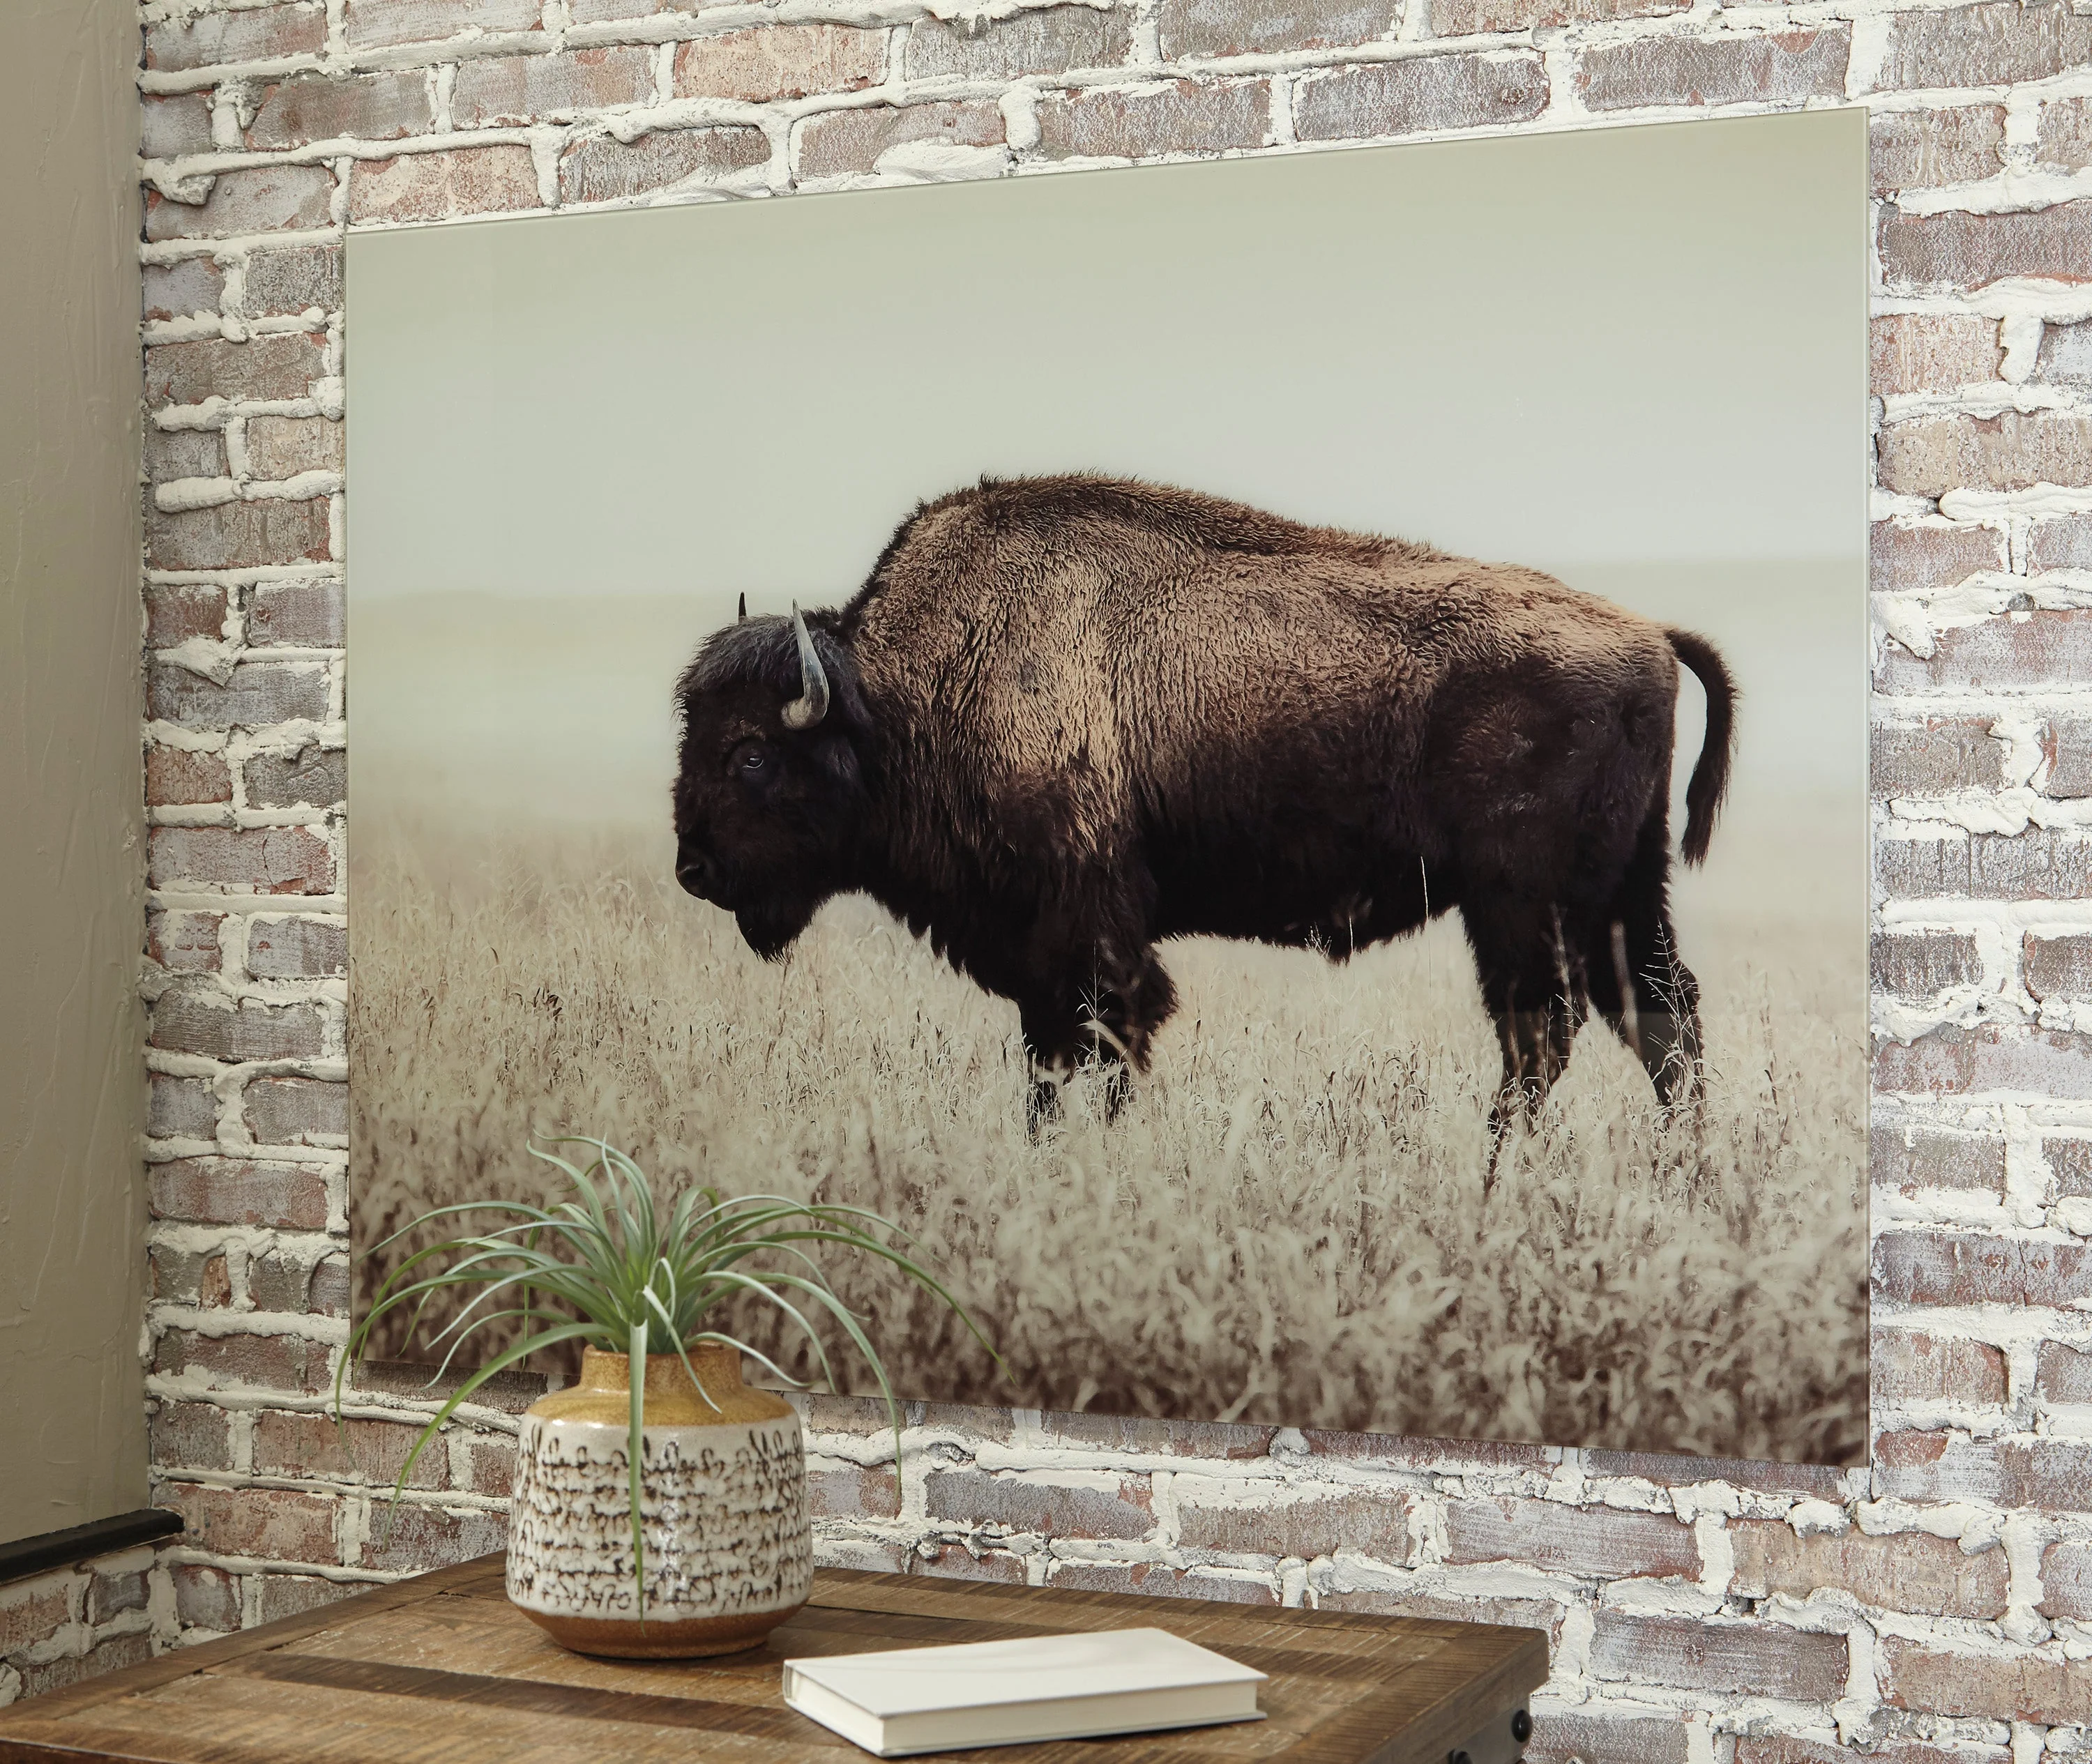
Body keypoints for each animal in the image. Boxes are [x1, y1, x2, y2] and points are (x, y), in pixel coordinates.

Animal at [672, 474, 1734, 1145]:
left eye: (751, 753)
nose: (694, 869)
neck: (897, 699)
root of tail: (1649, 632)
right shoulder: (1042, 959)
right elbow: (1048, 1065)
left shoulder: (1089, 937)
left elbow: (1099, 1049)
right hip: (1619, 894)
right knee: (1659, 1016)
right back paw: (1680, 1178)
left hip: (1523, 904)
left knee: (1543, 1033)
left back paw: (1498, 1173)